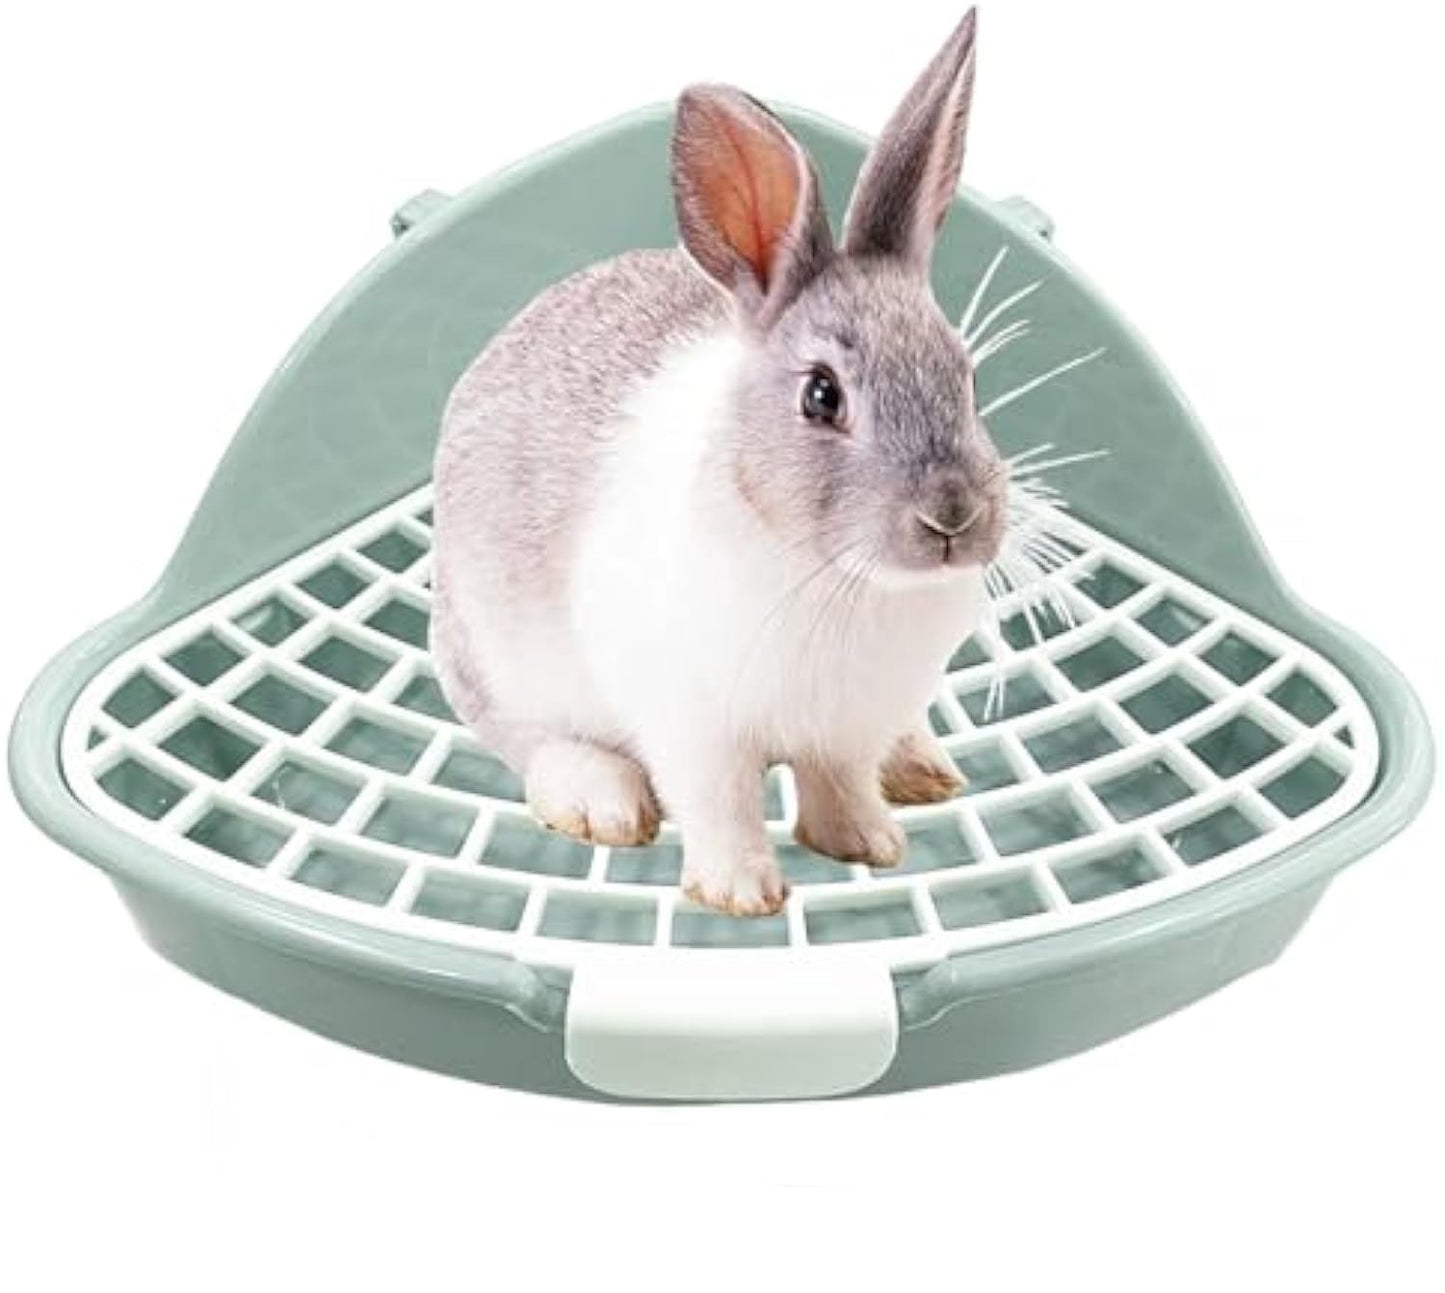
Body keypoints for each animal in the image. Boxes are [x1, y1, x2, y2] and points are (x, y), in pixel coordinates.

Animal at [432, 8, 1006, 916]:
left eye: (968, 376)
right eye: (820, 396)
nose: (952, 516)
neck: (837, 576)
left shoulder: (846, 725)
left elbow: (839, 783)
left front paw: (868, 844)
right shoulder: (692, 725)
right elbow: (721, 802)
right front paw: (740, 893)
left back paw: (921, 766)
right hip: (496, 656)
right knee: (525, 737)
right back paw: (598, 799)